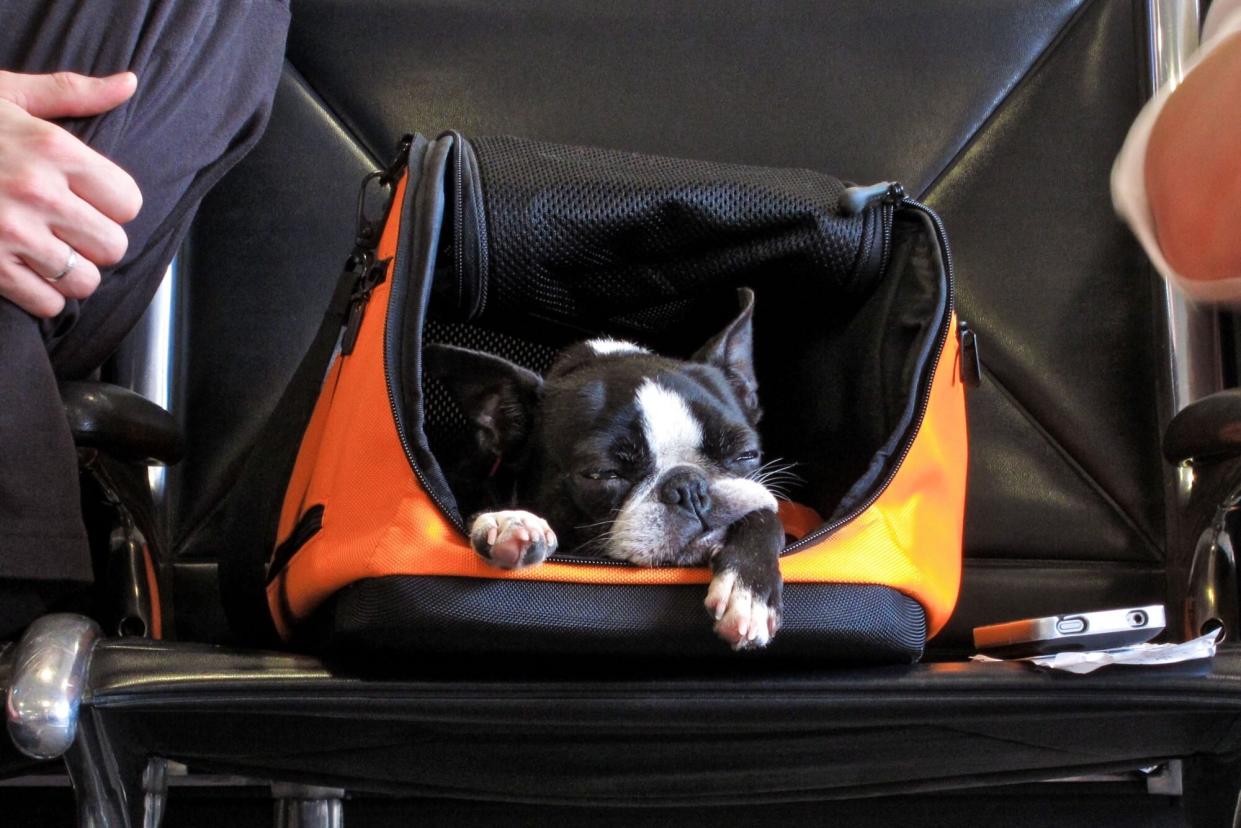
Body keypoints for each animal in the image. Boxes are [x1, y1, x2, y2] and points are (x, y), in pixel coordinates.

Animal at [421, 288, 779, 650]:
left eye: (746, 454)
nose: (689, 487)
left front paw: (748, 589)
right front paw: (508, 522)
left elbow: (765, 512)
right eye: (602, 474)